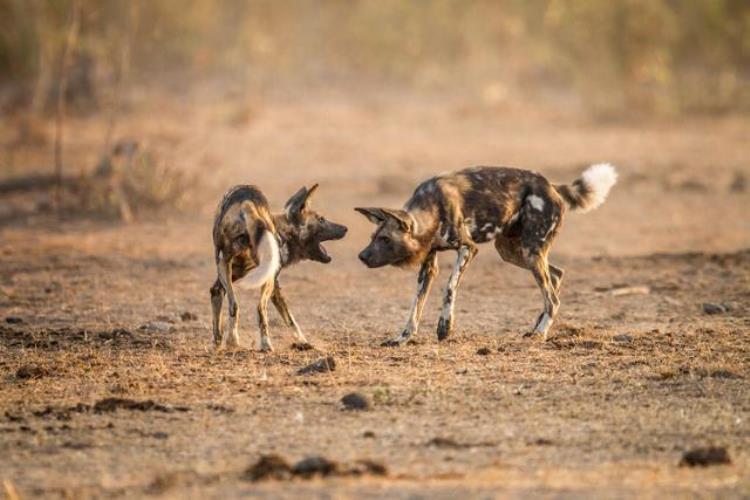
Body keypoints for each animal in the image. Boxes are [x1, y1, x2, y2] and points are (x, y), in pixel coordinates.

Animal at [210, 185, 348, 352]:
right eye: (321, 219)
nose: (345, 228)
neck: (284, 233)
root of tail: (246, 201)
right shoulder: (274, 285)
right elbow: (291, 319)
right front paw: (303, 342)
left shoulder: (230, 275)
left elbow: (217, 295)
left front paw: (218, 342)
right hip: (264, 279)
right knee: (260, 309)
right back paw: (264, 345)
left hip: (223, 263)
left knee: (233, 305)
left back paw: (231, 341)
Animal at [356, 162, 616, 346]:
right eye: (372, 237)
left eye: (385, 239)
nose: (362, 256)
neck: (430, 212)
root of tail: (551, 186)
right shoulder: (428, 267)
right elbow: (415, 306)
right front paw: (403, 337)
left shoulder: (468, 249)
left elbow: (449, 288)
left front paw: (445, 327)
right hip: (513, 252)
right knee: (556, 274)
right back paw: (536, 327)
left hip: (530, 252)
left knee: (552, 297)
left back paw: (540, 333)